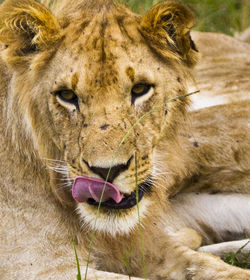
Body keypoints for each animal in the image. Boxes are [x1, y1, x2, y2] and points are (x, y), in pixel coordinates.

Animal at [0, 0, 250, 280]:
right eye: (66, 95)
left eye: (140, 89)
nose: (107, 172)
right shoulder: (38, 267)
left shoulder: (153, 248)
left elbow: (215, 268)